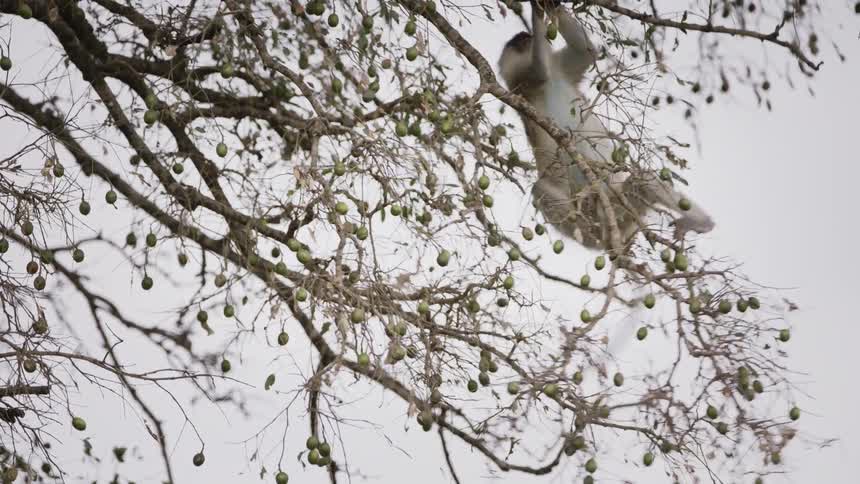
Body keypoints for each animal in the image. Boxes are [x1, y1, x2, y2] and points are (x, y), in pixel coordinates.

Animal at [498, 2, 715, 252]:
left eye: (525, 38)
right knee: (541, 188)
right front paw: (538, 10)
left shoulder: (560, 70)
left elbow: (586, 51)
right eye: (517, 43)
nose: (525, 37)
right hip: (598, 219)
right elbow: (542, 69)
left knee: (643, 181)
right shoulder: (525, 81)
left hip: (623, 209)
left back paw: (698, 222)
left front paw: (551, 7)